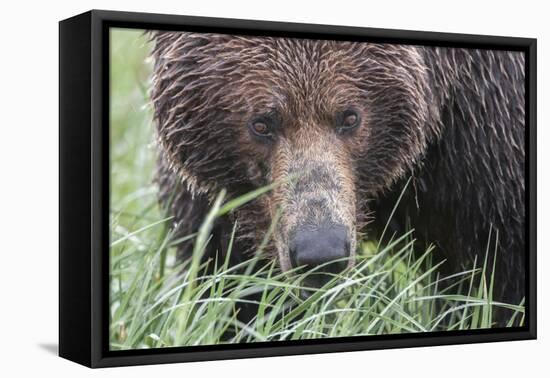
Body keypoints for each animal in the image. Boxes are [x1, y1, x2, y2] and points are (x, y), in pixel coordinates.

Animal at [150, 31, 528, 316]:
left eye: (349, 117)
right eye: (261, 124)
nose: (321, 251)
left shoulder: (485, 156)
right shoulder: (222, 202)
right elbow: (231, 277)